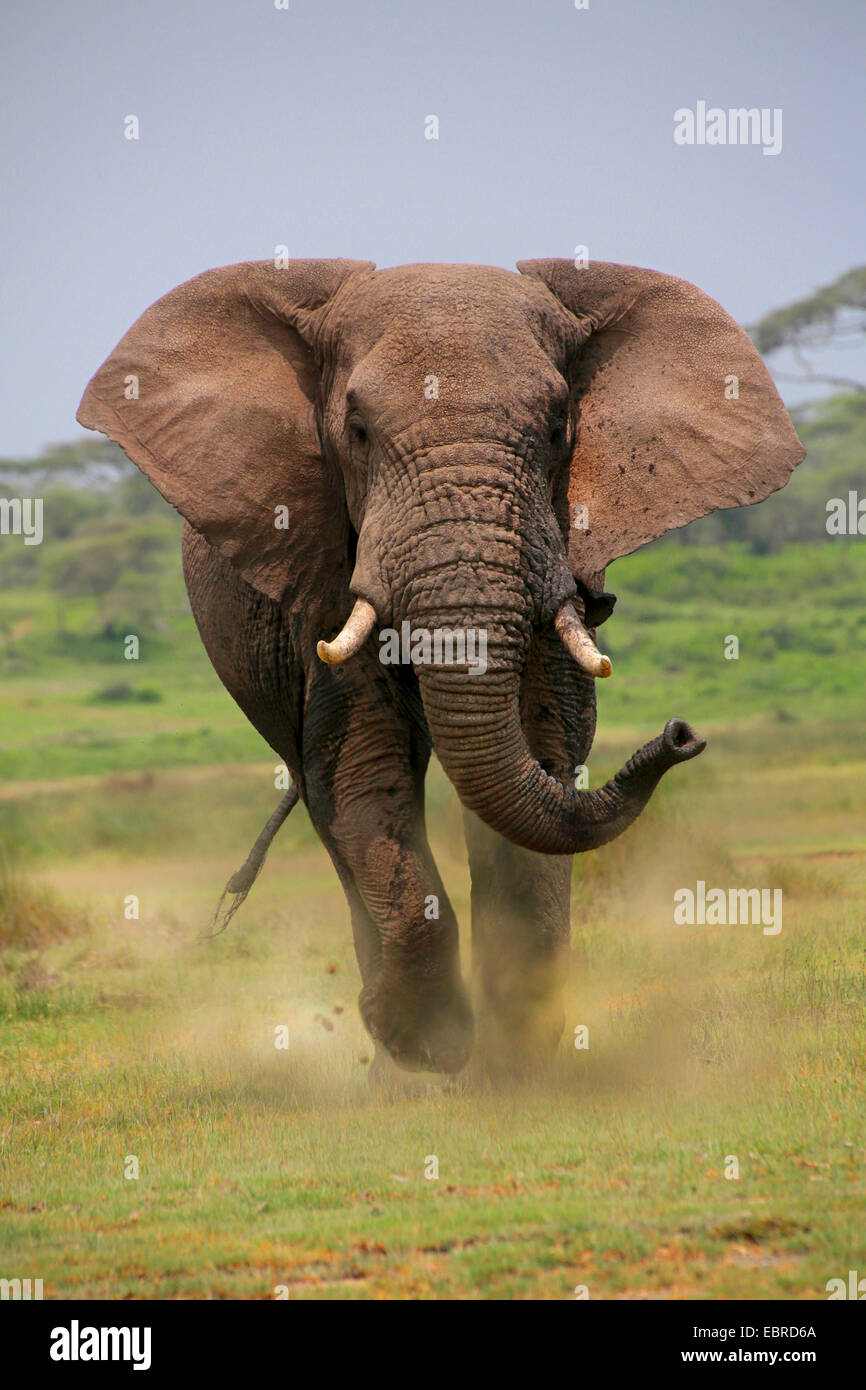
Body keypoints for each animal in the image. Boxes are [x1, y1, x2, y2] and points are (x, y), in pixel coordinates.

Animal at [76, 261, 806, 1078]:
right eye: (357, 431)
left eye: (560, 425)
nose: (683, 733)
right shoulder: (328, 571)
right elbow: (367, 768)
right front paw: (427, 1044)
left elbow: (539, 756)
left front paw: (513, 1059)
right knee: (326, 804)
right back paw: (389, 1063)